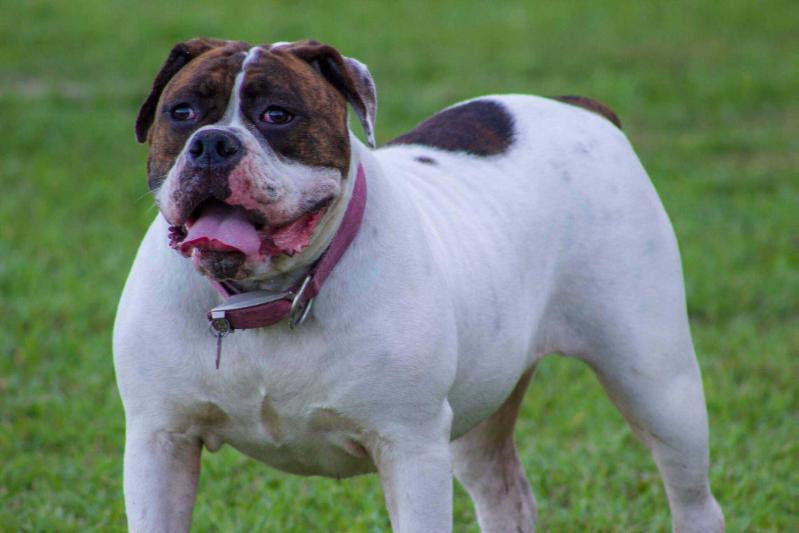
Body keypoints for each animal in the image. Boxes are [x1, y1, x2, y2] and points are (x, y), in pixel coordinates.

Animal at [115, 39, 728, 528]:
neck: (266, 296)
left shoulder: (410, 448)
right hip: (485, 404)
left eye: (277, 115)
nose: (212, 143)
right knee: (506, 494)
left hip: (657, 384)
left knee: (694, 498)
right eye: (182, 112)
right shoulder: (158, 443)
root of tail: (580, 109)